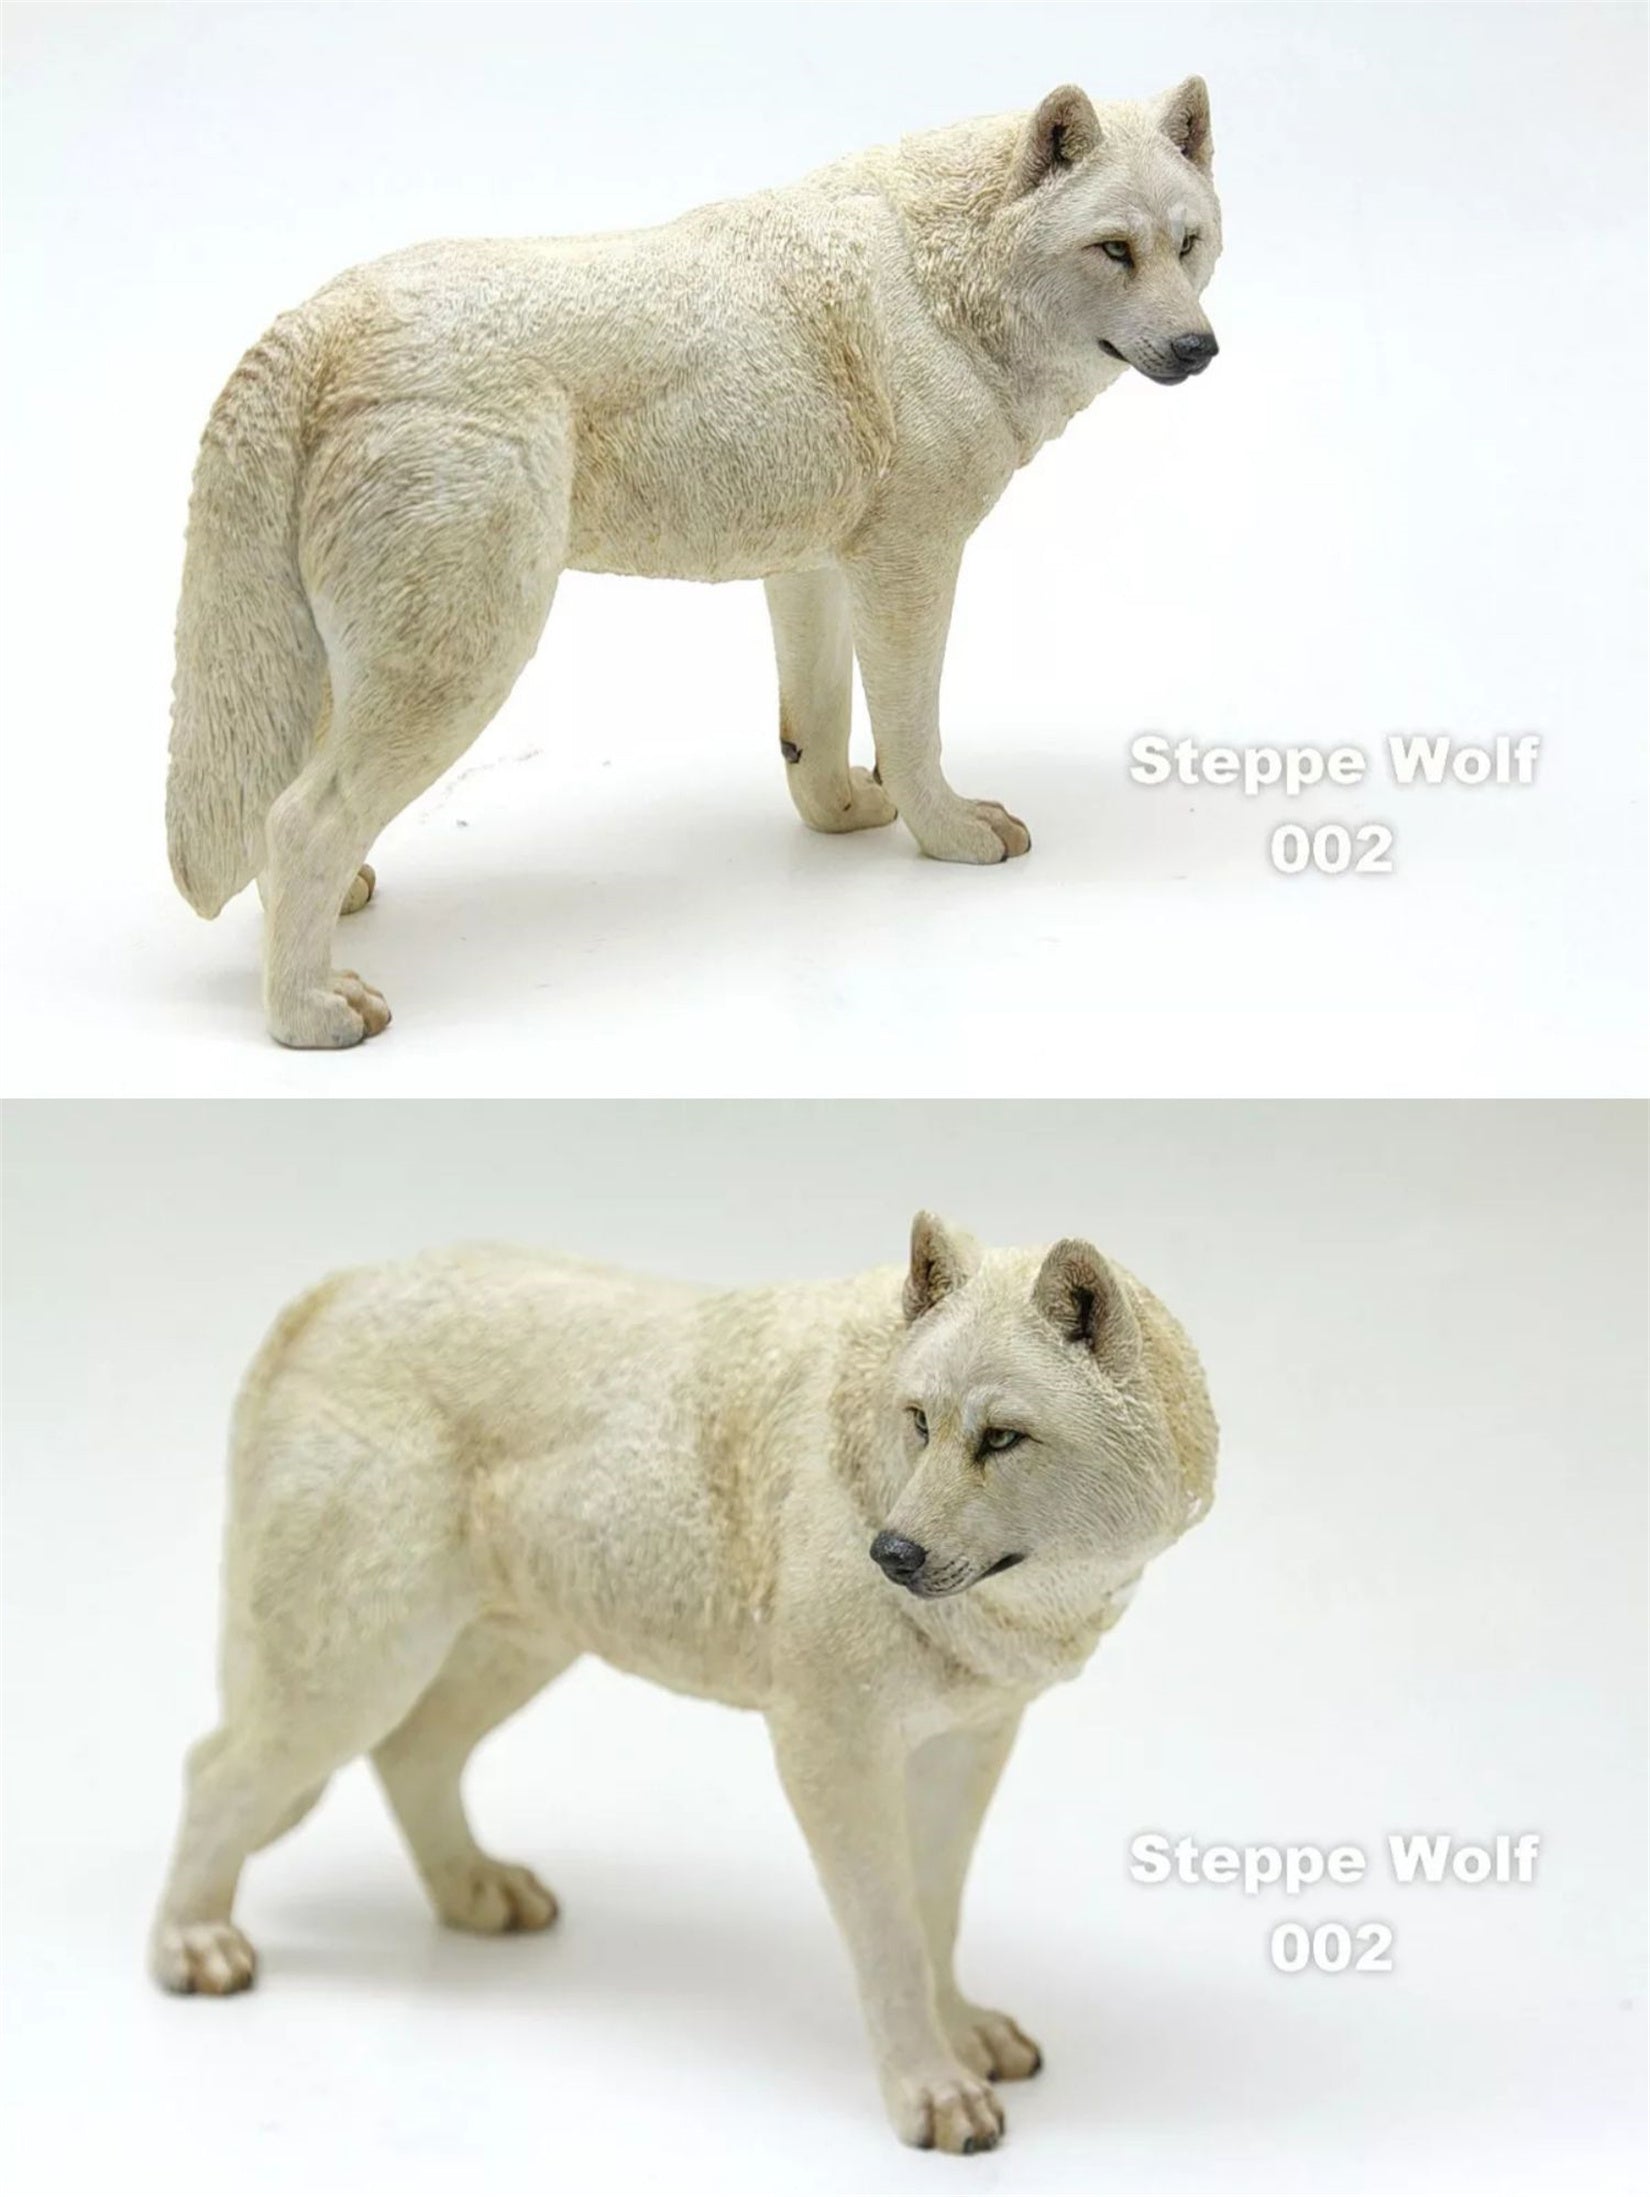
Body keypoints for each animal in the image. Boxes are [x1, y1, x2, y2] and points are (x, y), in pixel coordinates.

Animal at [150, 1215, 1217, 2153]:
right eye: (920, 1422)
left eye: (1001, 1437)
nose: (892, 1554)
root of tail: (334, 1289)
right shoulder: (832, 1752)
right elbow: (890, 1939)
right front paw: (930, 2091)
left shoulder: (964, 1748)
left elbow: (935, 1916)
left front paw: (960, 2036)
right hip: (357, 1670)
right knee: (214, 1769)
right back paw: (191, 1942)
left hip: (503, 1653)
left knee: (412, 1753)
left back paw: (472, 1891)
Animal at [164, 80, 1221, 1045]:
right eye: (1113, 248)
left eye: (1189, 243)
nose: (1199, 348)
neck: (945, 285)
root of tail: (311, 321)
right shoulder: (911, 560)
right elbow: (913, 733)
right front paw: (951, 833)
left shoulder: (814, 569)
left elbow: (816, 737)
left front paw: (845, 815)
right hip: (461, 663)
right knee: (300, 821)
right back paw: (310, 1013)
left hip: (354, 665)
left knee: (278, 816)